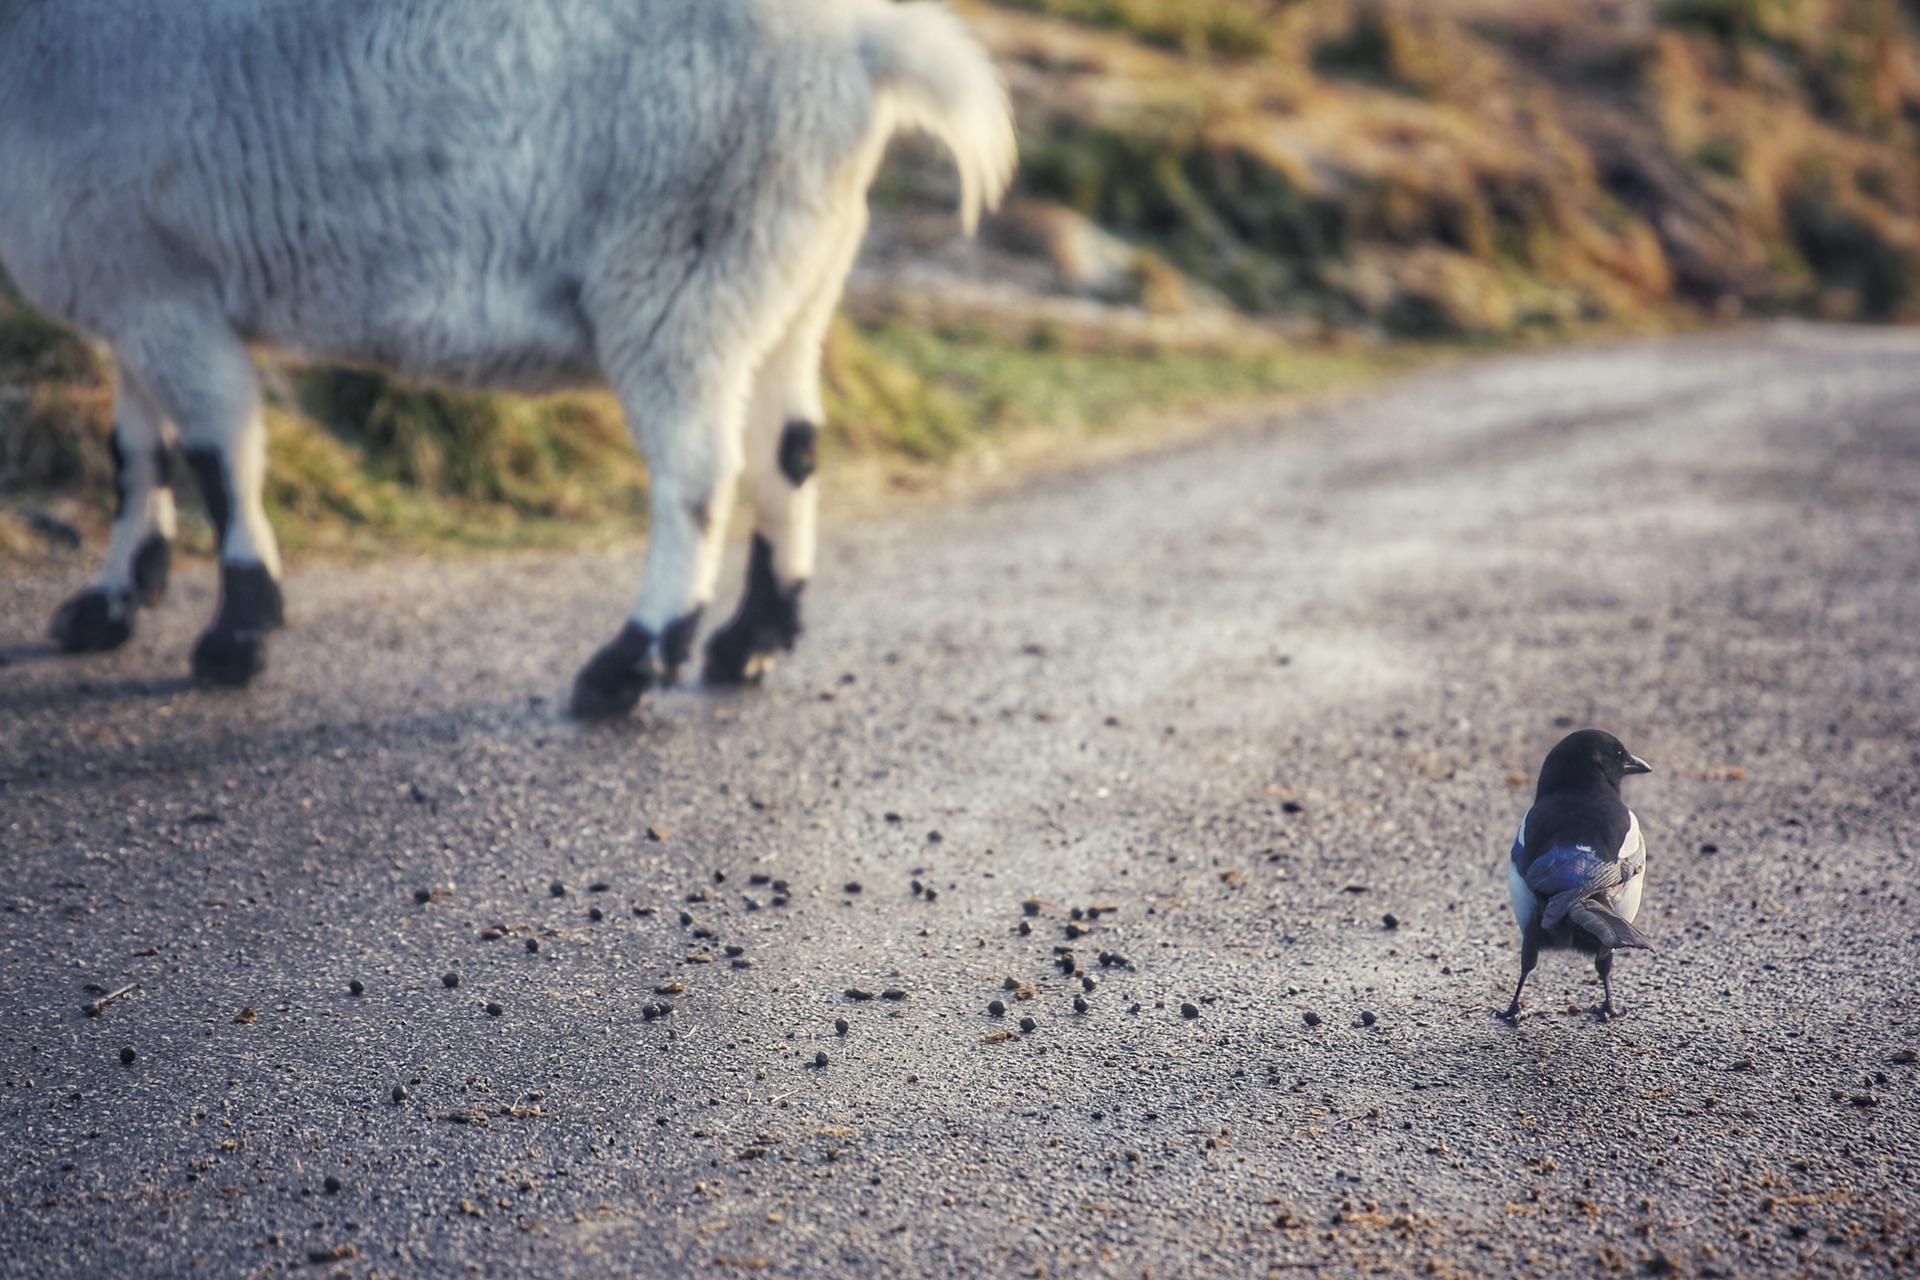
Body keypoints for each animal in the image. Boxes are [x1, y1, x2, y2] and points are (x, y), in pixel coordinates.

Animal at [0, 0, 1013, 717]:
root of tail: (863, 44)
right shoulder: (125, 278)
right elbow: (138, 452)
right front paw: (108, 606)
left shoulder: (162, 281)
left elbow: (218, 458)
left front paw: (234, 636)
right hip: (790, 272)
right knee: (789, 450)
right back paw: (749, 642)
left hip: (682, 262)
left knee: (699, 474)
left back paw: (628, 664)